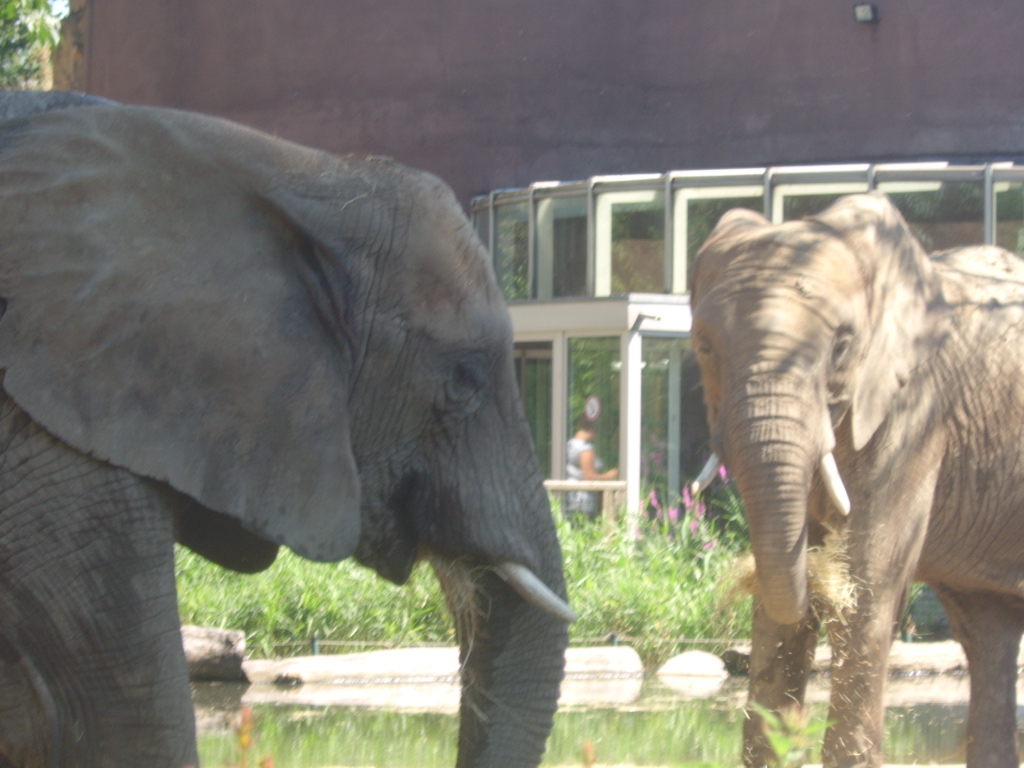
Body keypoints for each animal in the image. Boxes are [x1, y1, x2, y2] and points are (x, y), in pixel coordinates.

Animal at [688, 193, 1024, 768]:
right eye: (705, 347)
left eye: (842, 346)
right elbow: (779, 609)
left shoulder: (916, 412)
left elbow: (868, 584)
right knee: (988, 629)